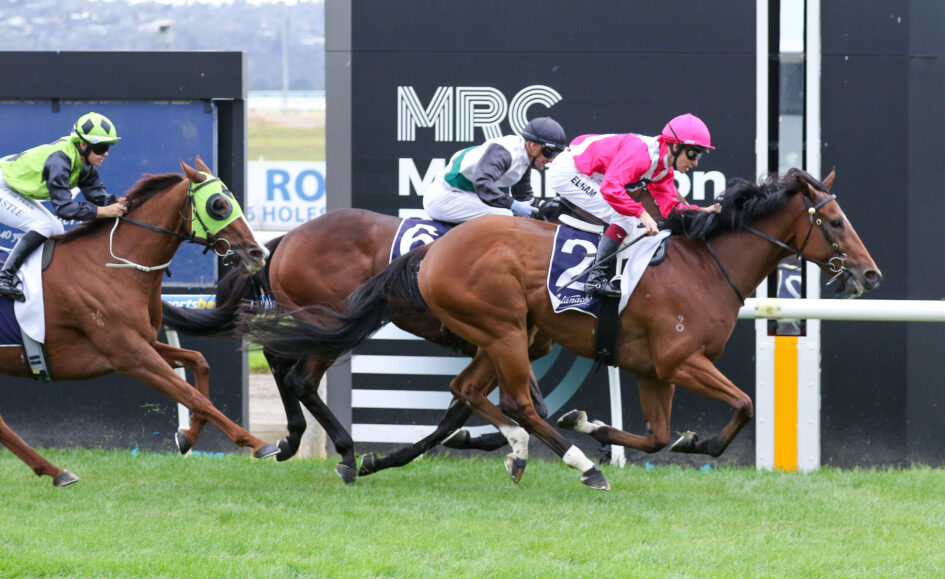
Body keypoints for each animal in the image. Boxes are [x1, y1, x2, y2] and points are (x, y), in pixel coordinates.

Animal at [0, 156, 279, 486]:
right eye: (219, 205)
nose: (258, 253)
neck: (110, 265)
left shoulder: (144, 342)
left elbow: (199, 361)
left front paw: (187, 436)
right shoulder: (130, 356)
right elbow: (192, 395)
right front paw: (258, 443)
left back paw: (56, 471)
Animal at [241, 169, 882, 490]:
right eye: (833, 220)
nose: (870, 273)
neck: (705, 268)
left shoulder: (651, 370)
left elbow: (655, 436)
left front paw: (594, 424)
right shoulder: (682, 361)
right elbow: (744, 404)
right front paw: (691, 443)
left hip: (502, 333)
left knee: (467, 392)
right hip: (499, 328)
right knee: (513, 402)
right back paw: (579, 465)